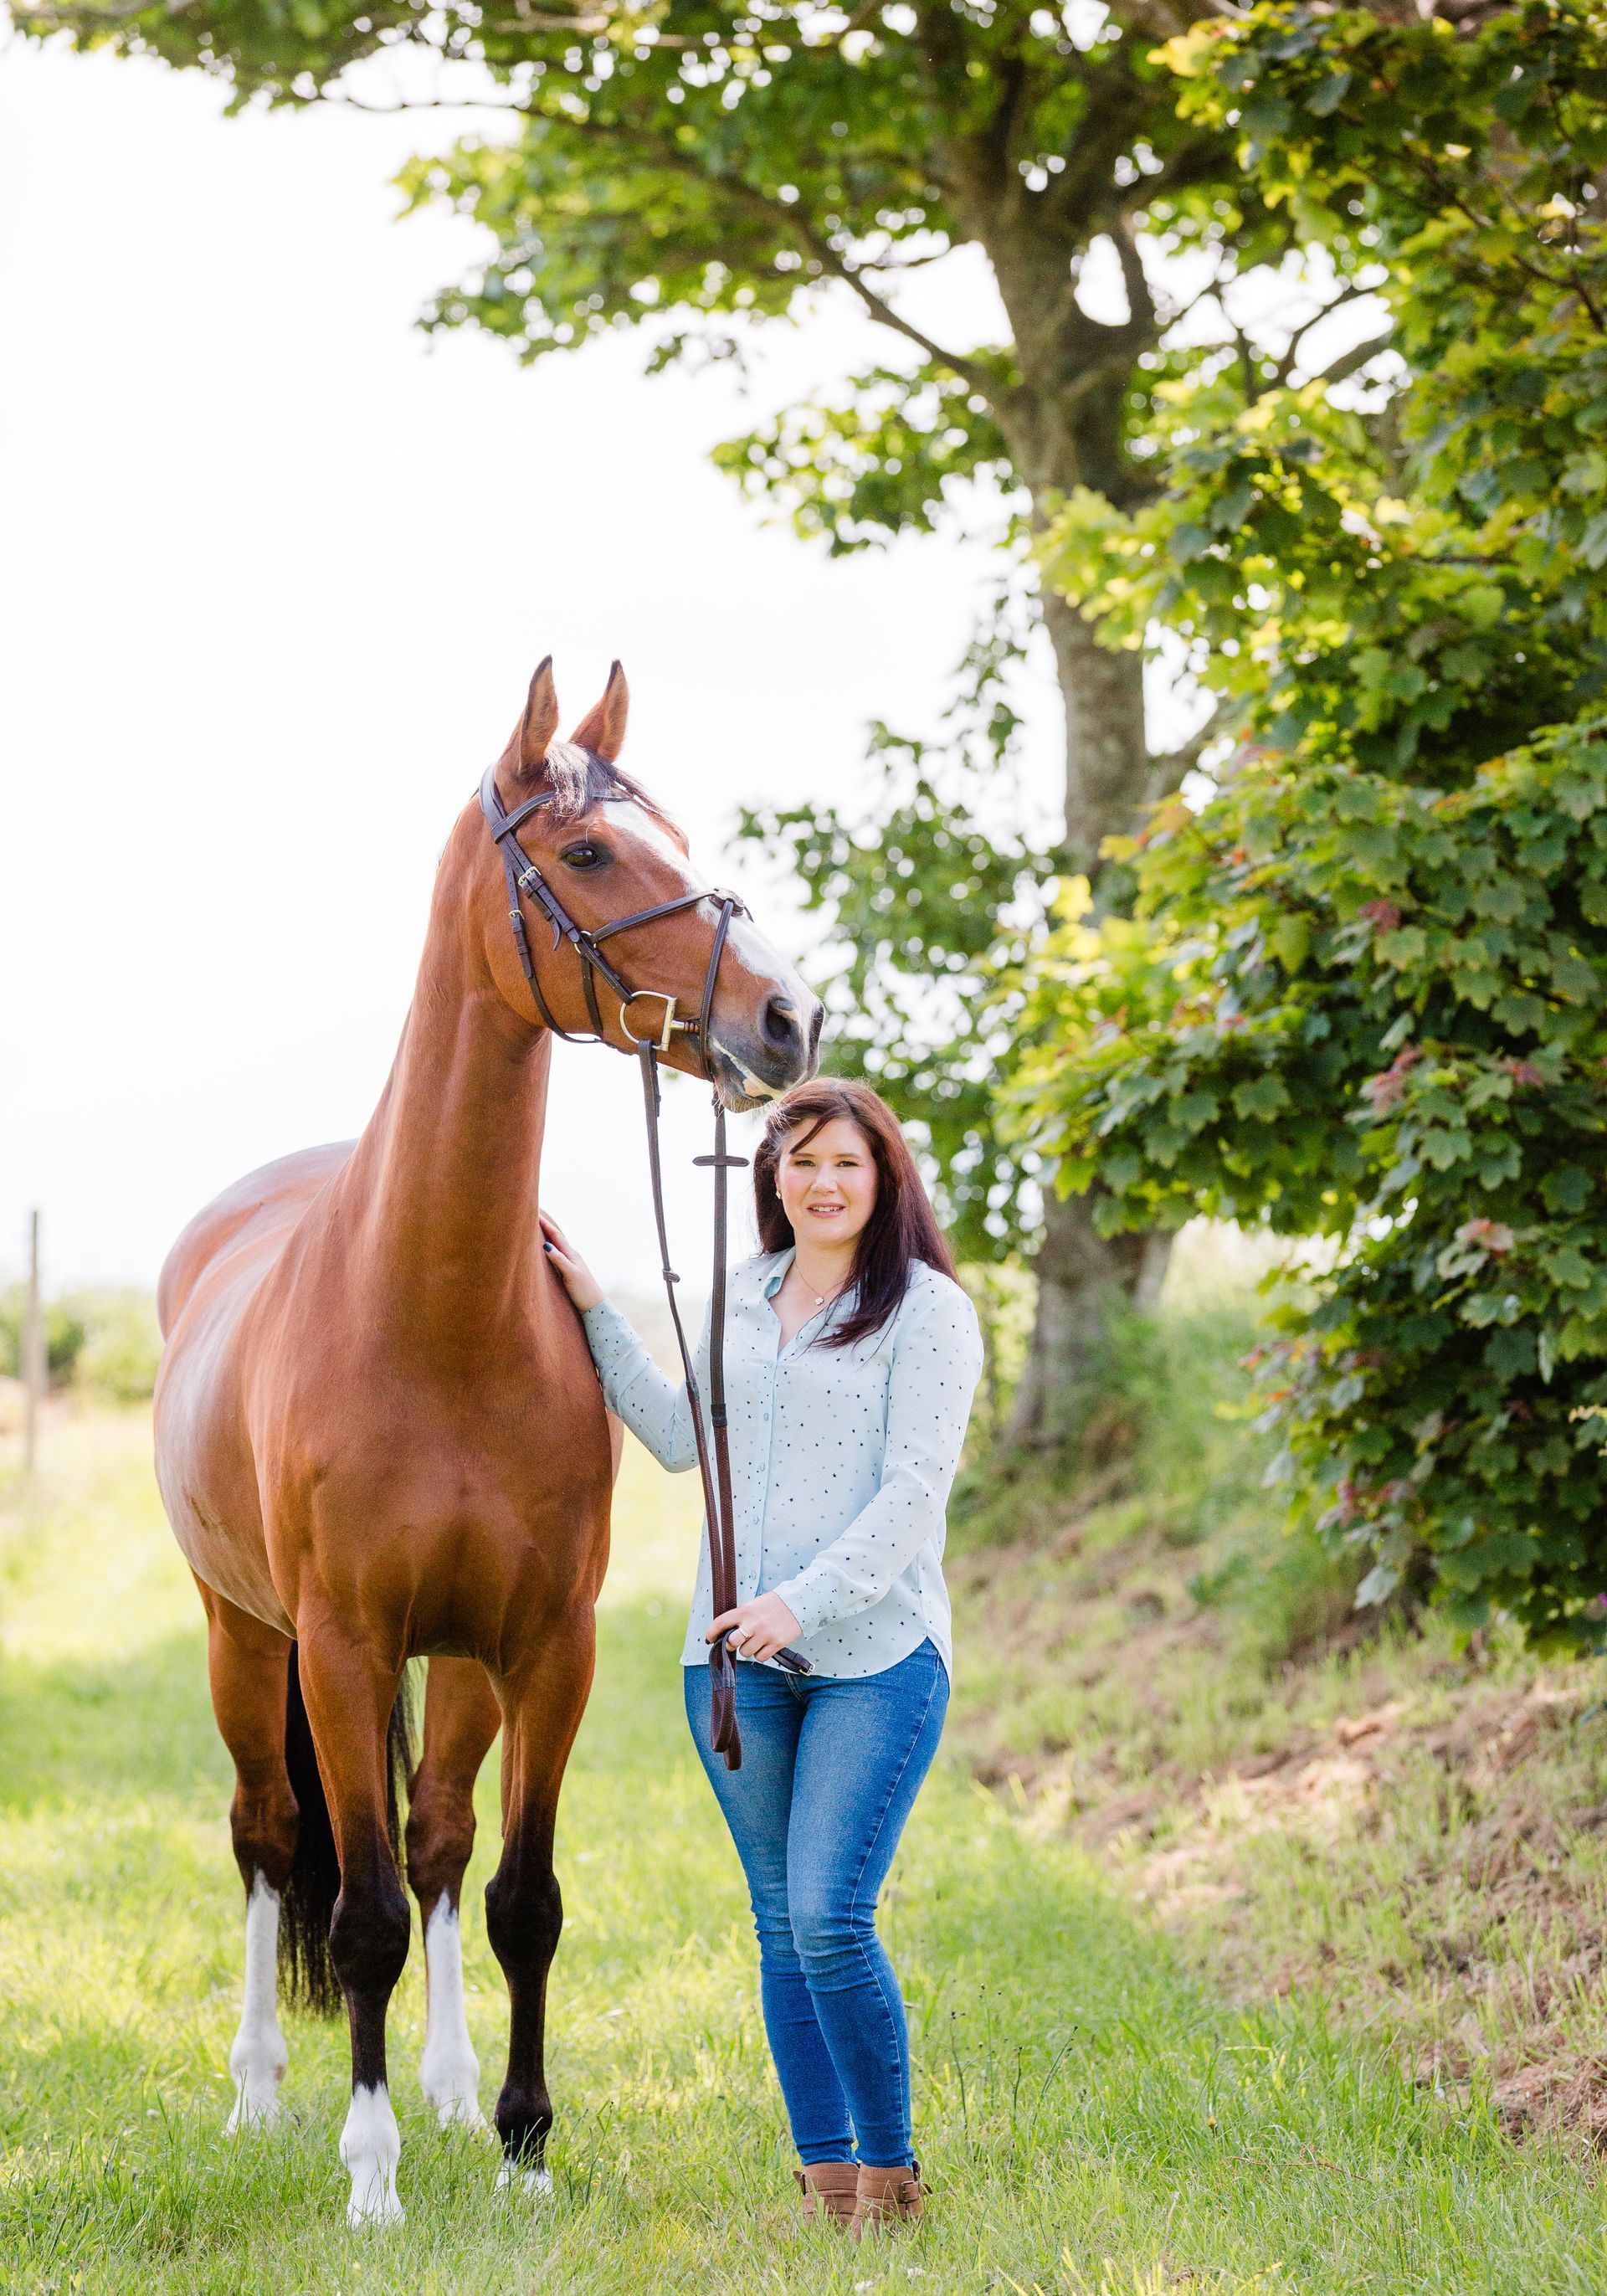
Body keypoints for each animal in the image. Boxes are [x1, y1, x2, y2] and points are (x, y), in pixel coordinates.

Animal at [153, 657, 822, 2224]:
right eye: (587, 851)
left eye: (677, 835)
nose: (783, 1020)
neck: (436, 1311)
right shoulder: (340, 1647)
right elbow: (359, 1915)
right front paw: (370, 2175)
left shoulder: (545, 1644)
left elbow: (520, 1895)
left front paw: (521, 2139)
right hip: (243, 1634)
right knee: (270, 1838)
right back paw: (260, 2092)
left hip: (456, 1661)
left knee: (443, 1841)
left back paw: (452, 2090)